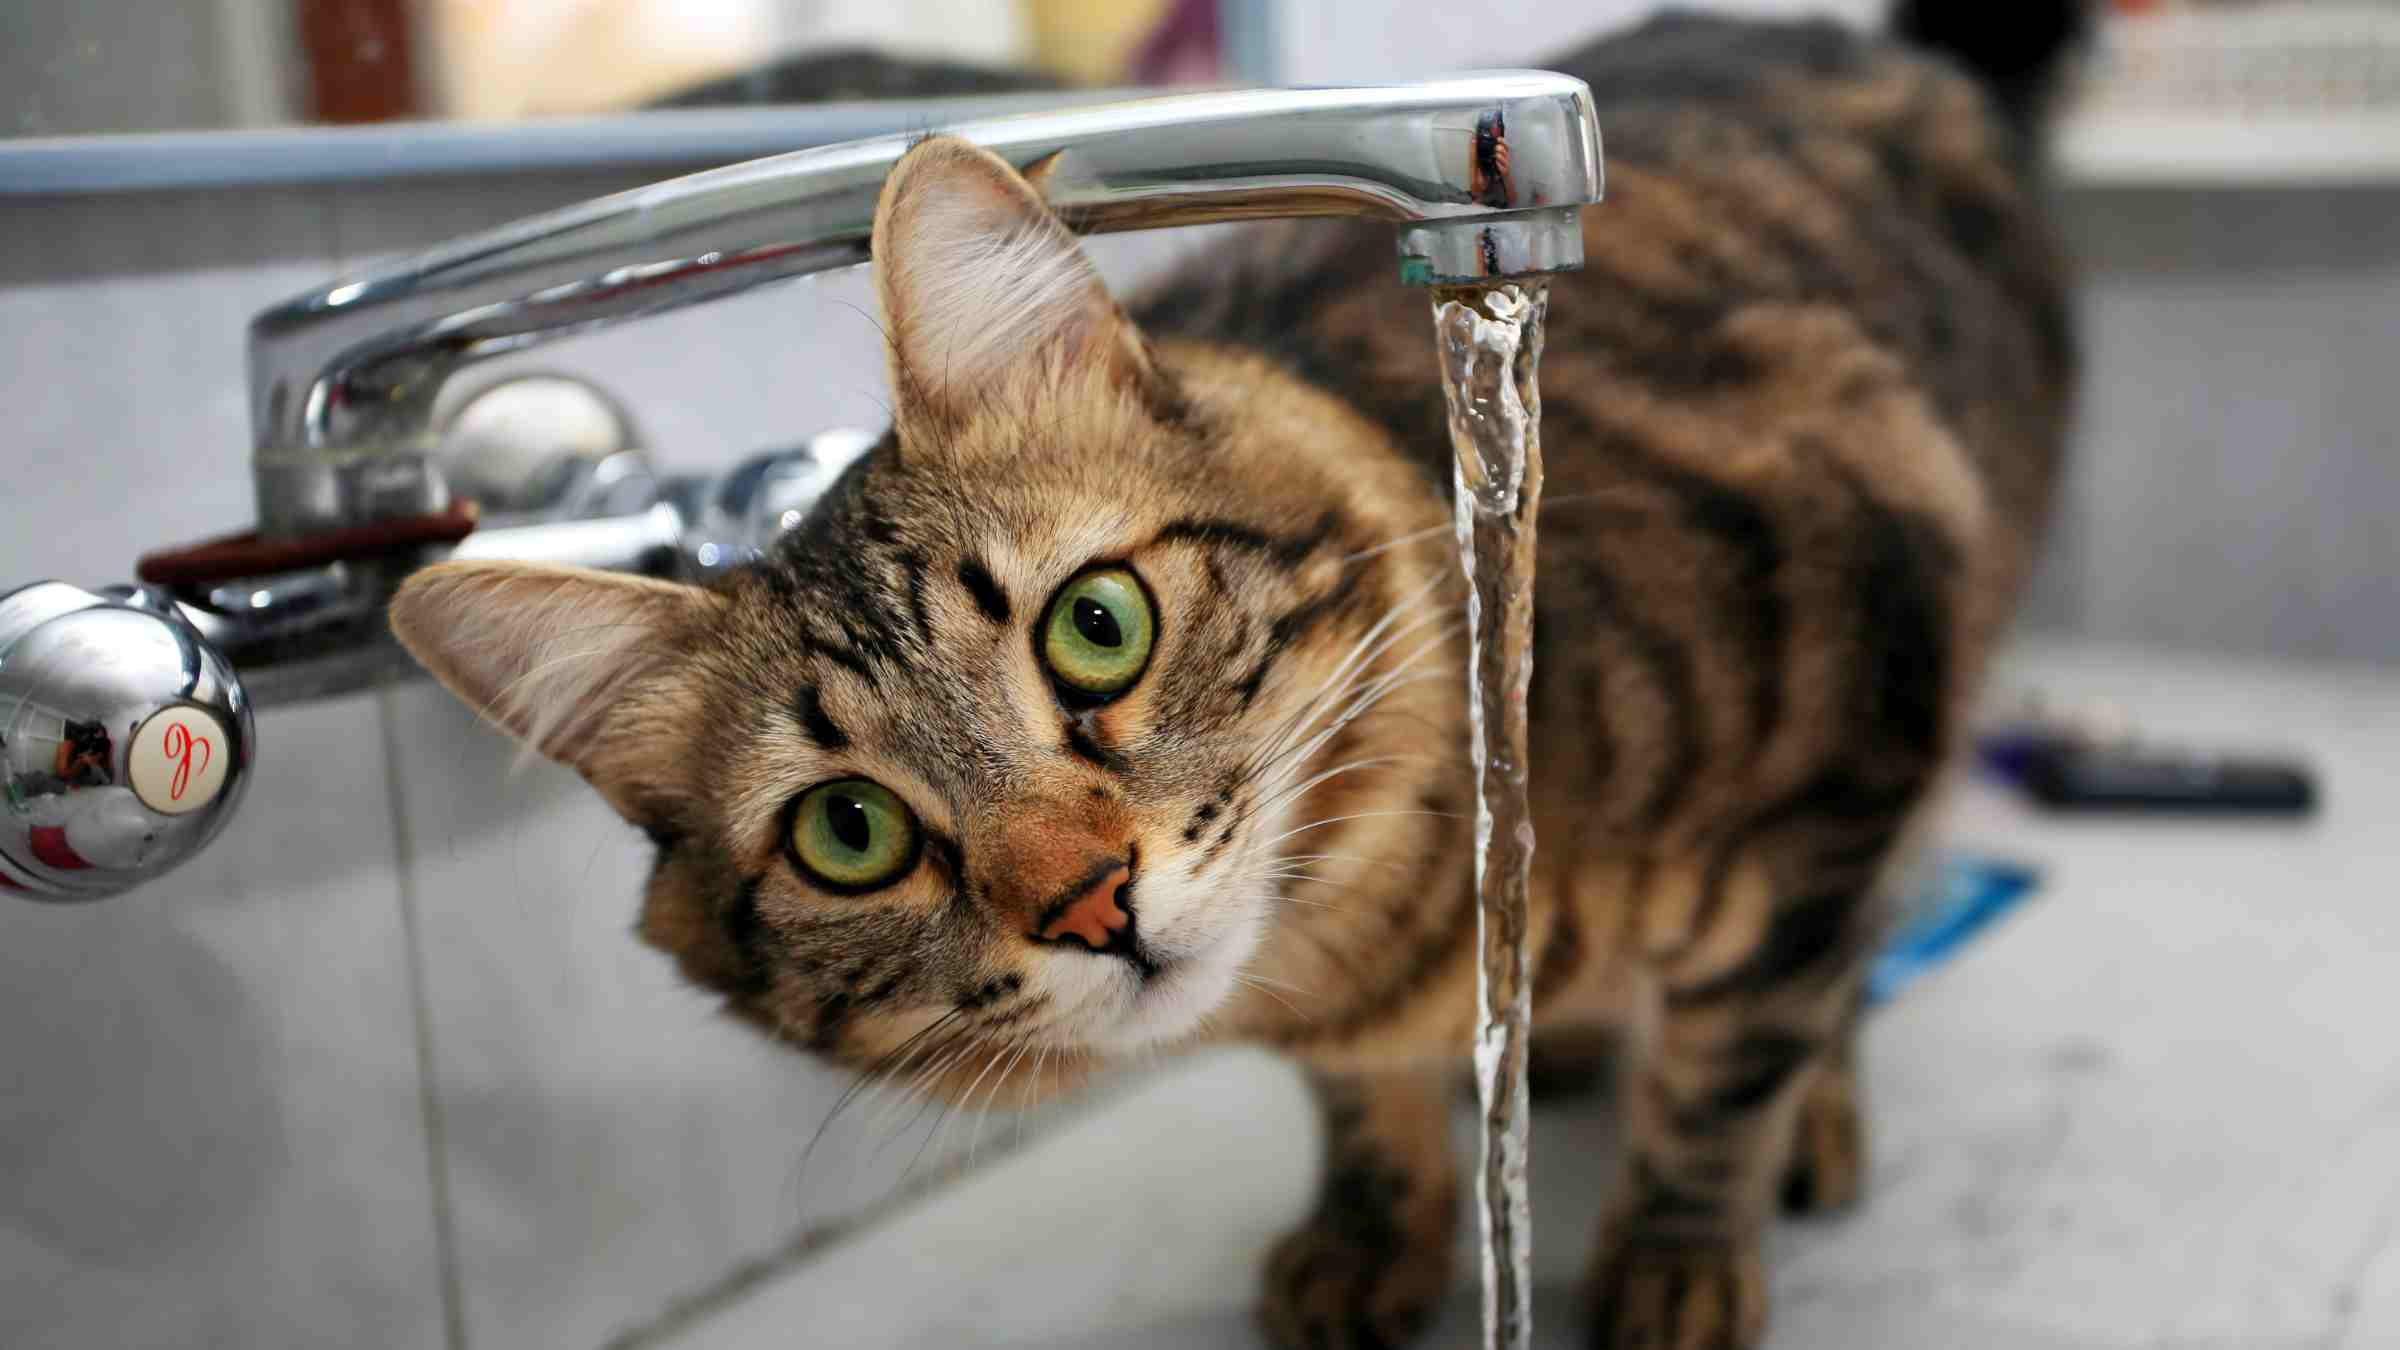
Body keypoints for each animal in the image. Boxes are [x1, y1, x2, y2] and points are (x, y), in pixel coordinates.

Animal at [384, 13, 2073, 1345]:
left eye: (1096, 626)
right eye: (848, 833)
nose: (1090, 903)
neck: (1379, 943)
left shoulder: (1865, 699)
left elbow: (1731, 1064)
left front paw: (1672, 1262)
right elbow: (1368, 1110)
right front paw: (1374, 1231)